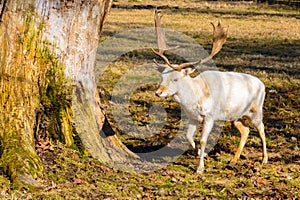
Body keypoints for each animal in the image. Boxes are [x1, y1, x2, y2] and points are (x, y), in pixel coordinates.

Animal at [152, 10, 268, 173]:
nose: (158, 92)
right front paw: (200, 152)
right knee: (245, 130)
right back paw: (233, 160)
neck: (196, 97)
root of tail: (262, 84)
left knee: (262, 129)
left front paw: (200, 168)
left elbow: (202, 140)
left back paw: (264, 159)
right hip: (235, 116)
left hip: (256, 110)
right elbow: (189, 137)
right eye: (162, 76)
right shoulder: (193, 117)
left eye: (175, 79)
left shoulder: (209, 116)